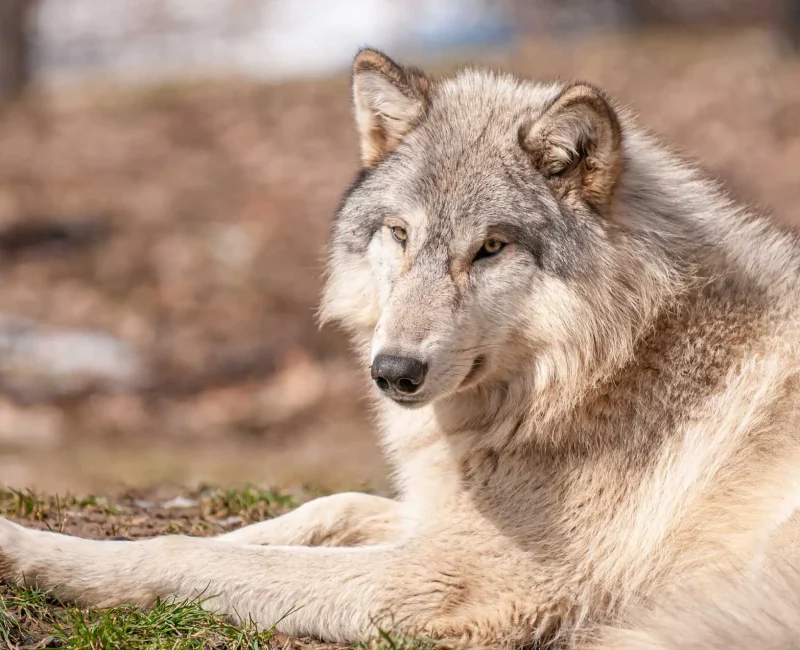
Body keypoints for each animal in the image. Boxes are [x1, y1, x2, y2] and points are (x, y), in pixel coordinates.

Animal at [2, 48, 800, 649]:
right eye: (401, 234)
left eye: (490, 249)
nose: (392, 372)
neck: (593, 376)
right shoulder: (431, 521)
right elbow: (320, 508)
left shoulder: (448, 579)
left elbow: (179, 551)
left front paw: (41, 557)